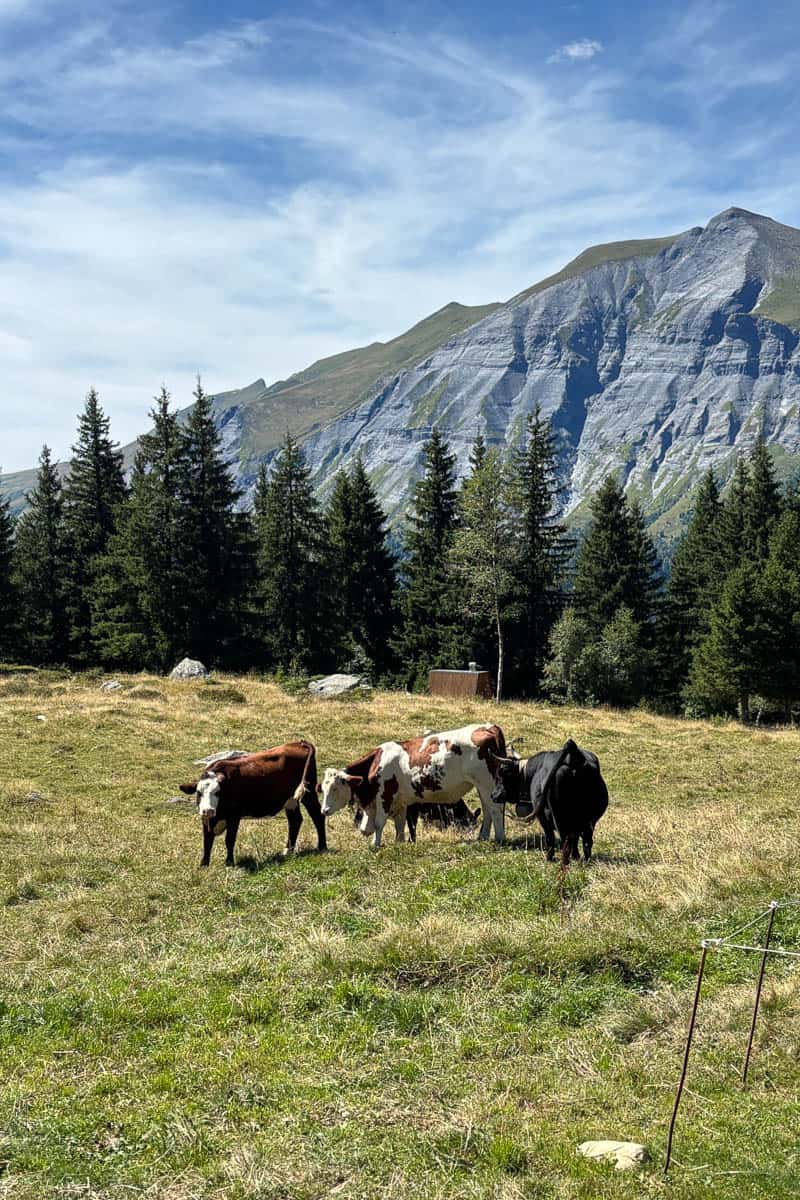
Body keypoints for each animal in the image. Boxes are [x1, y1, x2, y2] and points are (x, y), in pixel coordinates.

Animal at [179, 741, 325, 867]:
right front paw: (204, 864)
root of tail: (298, 743)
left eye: (217, 792)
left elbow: (229, 840)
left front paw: (229, 863)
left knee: (317, 815)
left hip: (309, 792)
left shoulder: (234, 817)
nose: (208, 810)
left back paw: (322, 847)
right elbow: (207, 841)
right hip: (290, 800)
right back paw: (288, 851)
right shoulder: (206, 819)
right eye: (199, 792)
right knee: (295, 821)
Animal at [319, 724, 509, 847]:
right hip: (483, 787)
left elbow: (380, 823)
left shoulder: (385, 797)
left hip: (487, 783)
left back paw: (500, 839)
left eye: (335, 788)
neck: (376, 762)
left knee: (496, 810)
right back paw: (483, 837)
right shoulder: (400, 802)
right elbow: (400, 824)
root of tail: (488, 727)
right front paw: (400, 843)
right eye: (322, 788)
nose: (324, 810)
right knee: (487, 810)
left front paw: (375, 844)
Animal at [492, 737, 608, 866]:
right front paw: (576, 856)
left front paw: (549, 858)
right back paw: (584, 861)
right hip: (590, 819)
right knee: (586, 841)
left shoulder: (542, 816)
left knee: (565, 839)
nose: (493, 795)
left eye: (502, 776)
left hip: (559, 818)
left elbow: (550, 837)